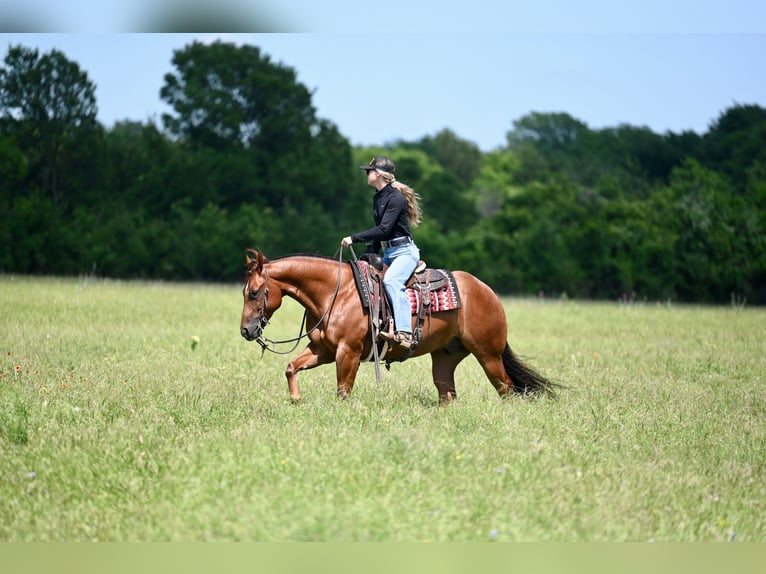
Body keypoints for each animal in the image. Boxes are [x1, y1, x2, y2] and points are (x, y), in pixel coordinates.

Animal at [240, 249, 559, 403]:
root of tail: (487, 292)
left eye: (254, 292)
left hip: (488, 354)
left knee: (506, 388)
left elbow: (343, 391)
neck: (336, 292)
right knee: (448, 394)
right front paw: (295, 399)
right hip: (445, 357)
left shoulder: (347, 352)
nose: (246, 330)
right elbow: (291, 367)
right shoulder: (323, 350)